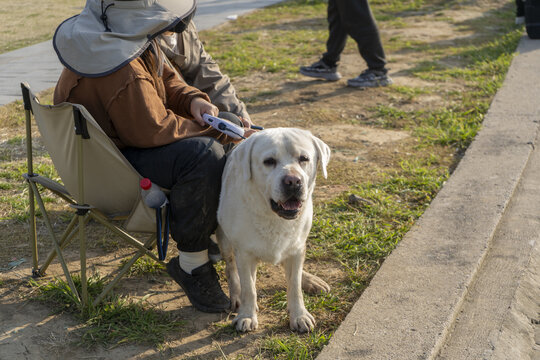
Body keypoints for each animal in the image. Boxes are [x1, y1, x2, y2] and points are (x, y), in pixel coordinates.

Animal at [215, 127, 330, 332]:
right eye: (269, 161)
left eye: (304, 158)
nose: (293, 181)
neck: (273, 217)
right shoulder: (244, 253)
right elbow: (249, 288)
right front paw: (247, 315)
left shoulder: (297, 248)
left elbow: (294, 285)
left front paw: (299, 315)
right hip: (225, 239)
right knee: (231, 267)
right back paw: (236, 294)